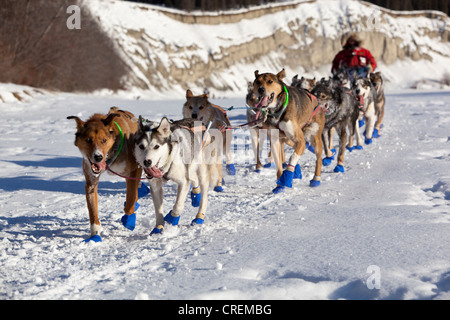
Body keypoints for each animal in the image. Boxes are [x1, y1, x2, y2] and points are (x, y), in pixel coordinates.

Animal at [66, 107, 141, 242]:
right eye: (88, 140)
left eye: (104, 140)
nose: (98, 157)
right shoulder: (91, 183)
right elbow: (93, 210)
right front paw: (95, 233)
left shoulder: (133, 172)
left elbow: (130, 203)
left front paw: (129, 220)